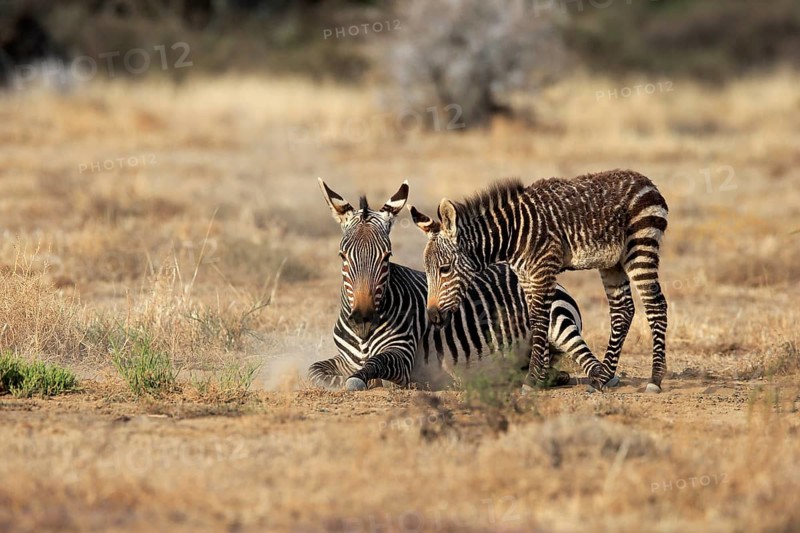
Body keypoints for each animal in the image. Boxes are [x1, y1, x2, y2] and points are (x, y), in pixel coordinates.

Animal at [308, 179, 611, 391]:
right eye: (342, 256)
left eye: (387, 257)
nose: (363, 318)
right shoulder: (343, 359)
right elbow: (316, 372)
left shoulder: (402, 354)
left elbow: (373, 365)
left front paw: (362, 380)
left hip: (557, 320)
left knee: (585, 359)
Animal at [409, 169, 669, 393]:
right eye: (427, 271)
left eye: (444, 269)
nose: (433, 316)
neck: (512, 234)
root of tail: (645, 180)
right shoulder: (526, 275)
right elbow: (535, 320)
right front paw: (540, 376)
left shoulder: (543, 269)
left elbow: (541, 319)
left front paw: (532, 379)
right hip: (612, 262)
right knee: (623, 311)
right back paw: (602, 378)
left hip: (640, 246)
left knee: (656, 305)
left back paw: (655, 379)